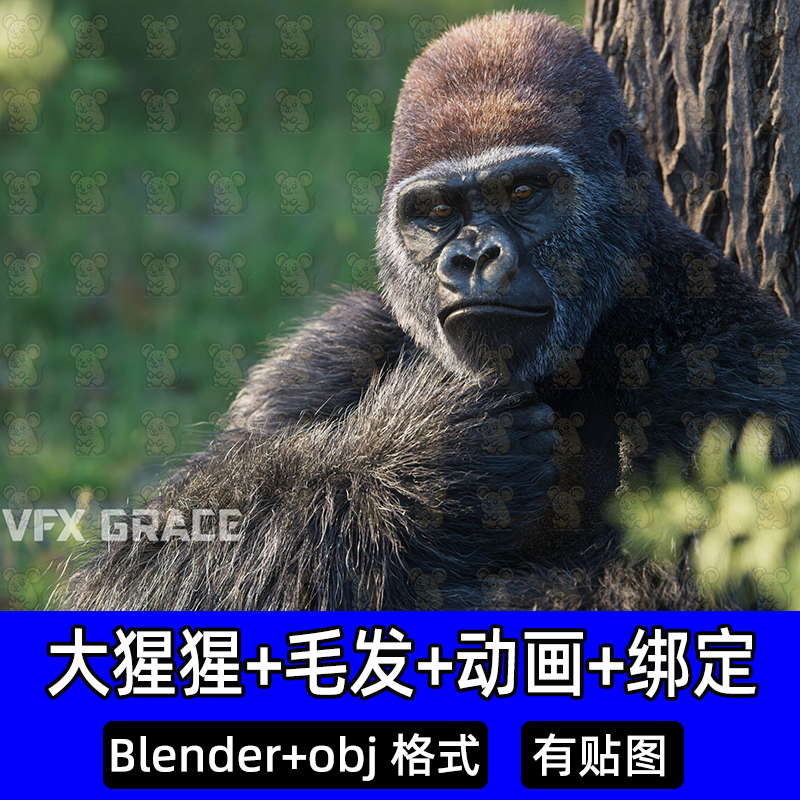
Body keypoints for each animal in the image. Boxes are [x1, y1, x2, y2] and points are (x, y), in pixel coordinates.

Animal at [53, 12, 800, 611]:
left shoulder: (734, 366)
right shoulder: (325, 352)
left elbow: (674, 588)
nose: (473, 257)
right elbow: (152, 566)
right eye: (438, 212)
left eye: (525, 191)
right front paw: (419, 469)